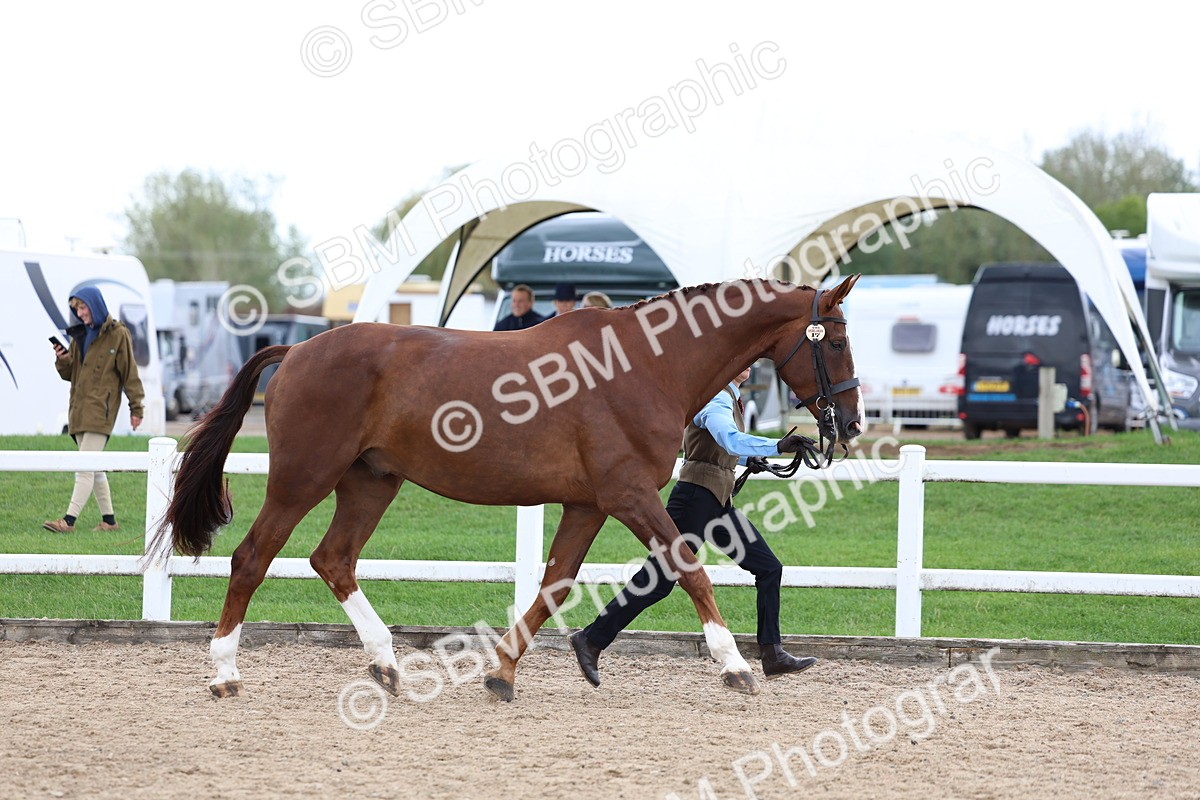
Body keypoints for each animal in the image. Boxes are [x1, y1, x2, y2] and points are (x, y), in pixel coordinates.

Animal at [156, 274, 864, 701]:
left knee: (334, 559)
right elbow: (690, 571)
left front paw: (502, 672)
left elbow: (556, 585)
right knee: (252, 558)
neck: (645, 366)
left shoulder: (587, 503)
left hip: (370, 482)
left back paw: (385, 663)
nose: (850, 423)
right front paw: (737, 666)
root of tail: (297, 351)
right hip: (302, 478)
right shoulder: (629, 496)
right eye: (837, 343)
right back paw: (225, 674)